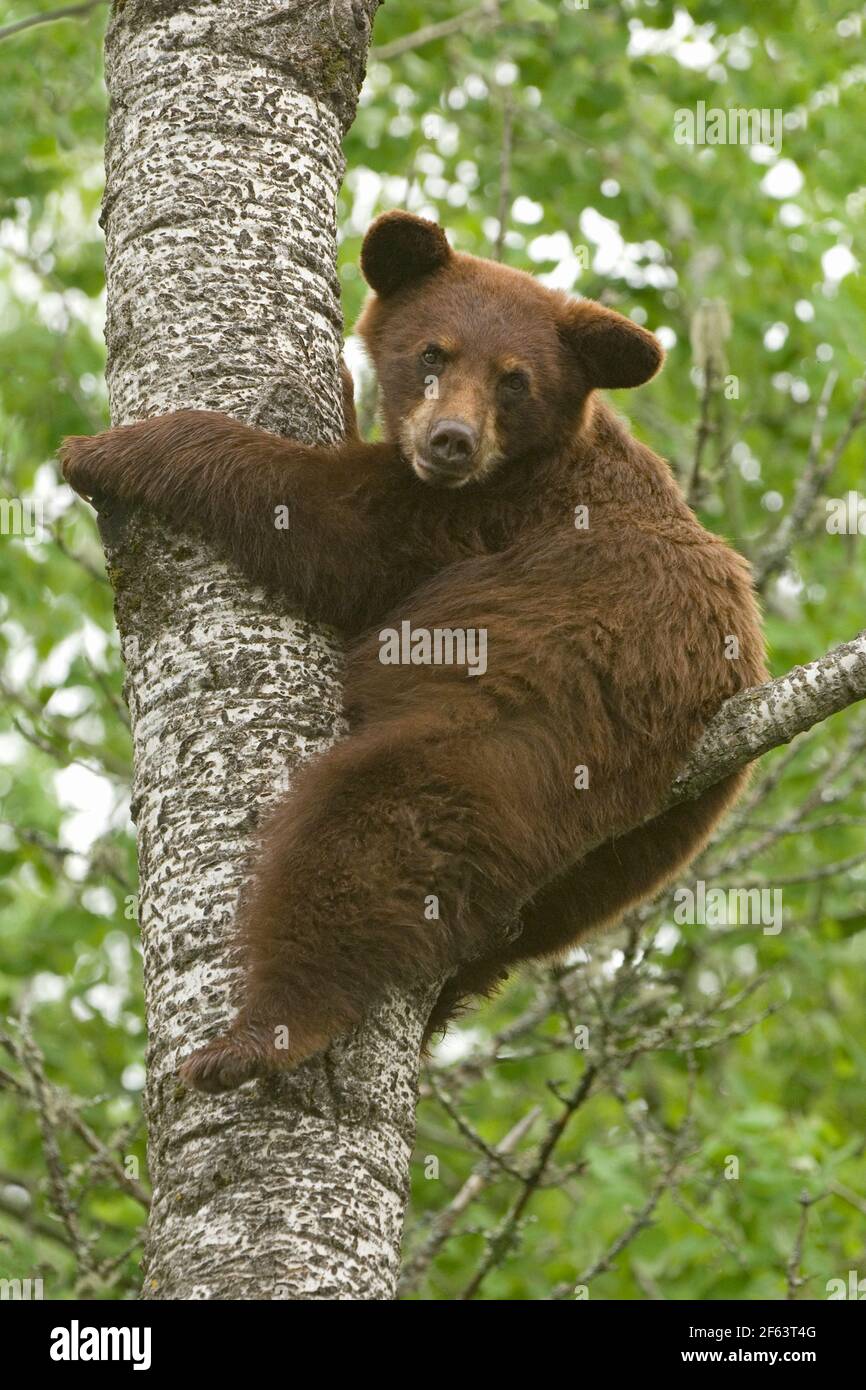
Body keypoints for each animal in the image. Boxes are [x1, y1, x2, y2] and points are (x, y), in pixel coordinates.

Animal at [60, 209, 767, 1093]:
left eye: (515, 380)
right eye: (434, 351)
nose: (452, 440)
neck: (521, 462)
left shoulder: (476, 520)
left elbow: (325, 523)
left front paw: (106, 449)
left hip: (531, 738)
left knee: (366, 831)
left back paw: (262, 1034)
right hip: (598, 877)